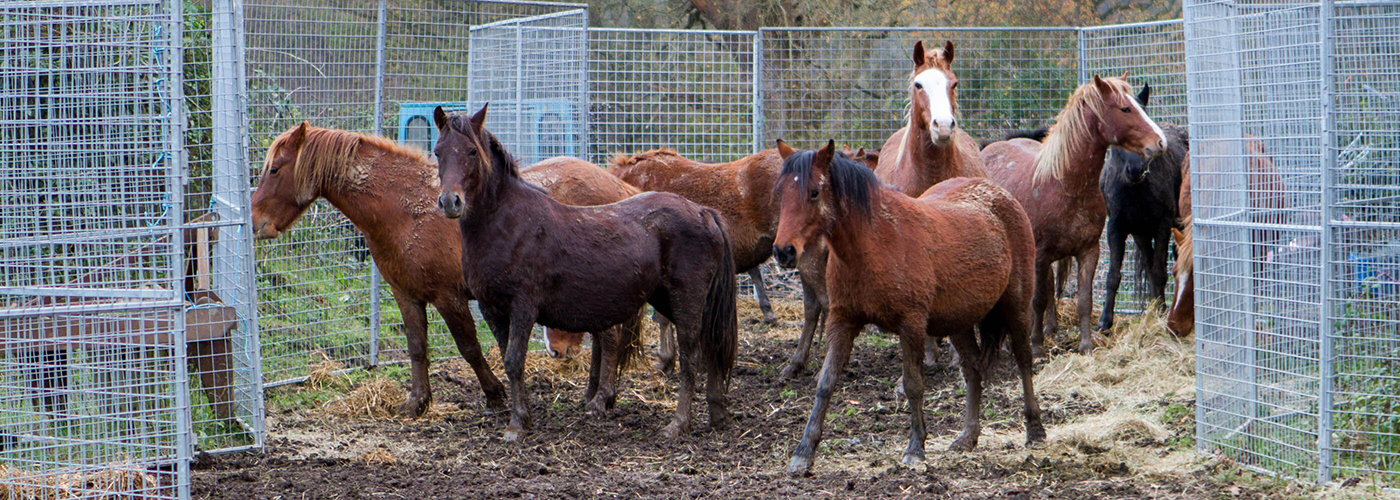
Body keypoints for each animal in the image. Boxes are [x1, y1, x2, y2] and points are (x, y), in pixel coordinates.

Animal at [249, 122, 641, 414]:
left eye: (274, 168)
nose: (255, 222)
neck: (404, 210)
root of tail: (619, 187)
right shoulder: (406, 294)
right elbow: (417, 346)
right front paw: (417, 403)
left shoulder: (448, 297)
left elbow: (469, 348)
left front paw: (495, 395)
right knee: (602, 337)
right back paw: (593, 395)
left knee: (609, 337)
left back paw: (600, 399)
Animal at [436, 102, 744, 436]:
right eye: (438, 151)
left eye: (471, 151)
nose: (450, 202)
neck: (508, 223)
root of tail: (703, 212)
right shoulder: (492, 309)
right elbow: (508, 360)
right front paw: (524, 416)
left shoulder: (523, 307)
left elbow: (515, 360)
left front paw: (517, 424)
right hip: (670, 299)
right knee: (710, 346)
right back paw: (717, 413)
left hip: (686, 299)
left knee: (691, 355)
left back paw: (678, 423)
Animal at [772, 140, 1047, 476]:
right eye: (781, 192)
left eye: (814, 192)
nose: (783, 251)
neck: (874, 243)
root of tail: (1002, 196)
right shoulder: (842, 321)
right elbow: (825, 383)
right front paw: (803, 452)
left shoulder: (911, 325)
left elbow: (913, 384)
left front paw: (915, 449)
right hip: (958, 323)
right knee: (972, 370)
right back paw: (967, 437)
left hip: (1016, 307)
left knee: (1024, 361)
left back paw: (1035, 430)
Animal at [1097, 122, 1187, 329]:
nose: (1136, 170)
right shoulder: (1116, 228)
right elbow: (1113, 275)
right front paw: (1105, 320)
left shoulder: (1163, 225)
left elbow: (1160, 272)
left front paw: (1161, 312)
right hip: (1142, 235)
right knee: (1149, 263)